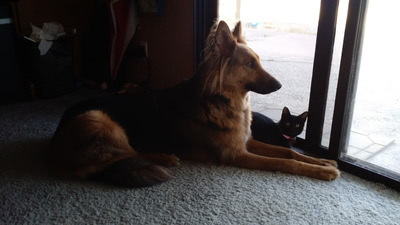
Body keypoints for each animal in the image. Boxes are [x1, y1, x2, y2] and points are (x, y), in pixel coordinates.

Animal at [47, 20, 340, 186]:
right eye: (250, 64)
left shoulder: (246, 141)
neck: (226, 102)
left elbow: (289, 152)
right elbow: (285, 163)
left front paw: (323, 162)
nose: (279, 85)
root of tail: (56, 139)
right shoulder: (237, 154)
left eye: (258, 61)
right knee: (128, 152)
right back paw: (164, 157)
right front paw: (320, 171)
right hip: (99, 118)